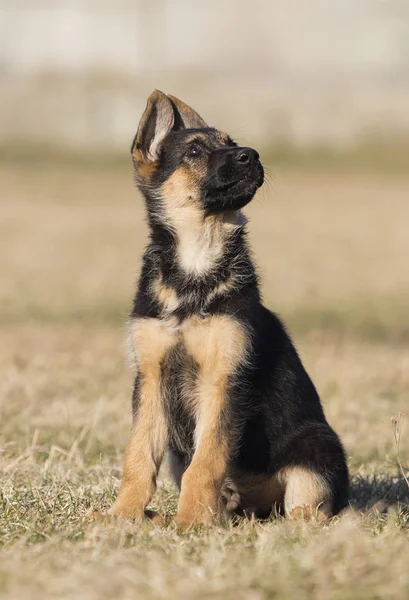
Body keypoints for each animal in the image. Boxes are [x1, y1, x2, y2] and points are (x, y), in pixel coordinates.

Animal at [106, 91, 348, 528]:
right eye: (194, 150)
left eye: (232, 142)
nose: (251, 155)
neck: (196, 264)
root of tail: (257, 510)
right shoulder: (150, 377)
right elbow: (138, 457)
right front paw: (122, 515)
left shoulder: (223, 378)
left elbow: (206, 462)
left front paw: (190, 522)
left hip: (317, 446)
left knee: (308, 508)